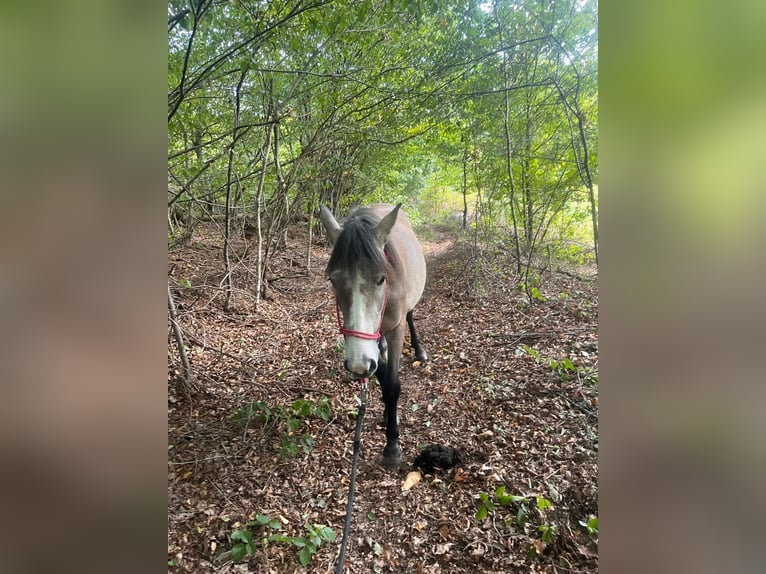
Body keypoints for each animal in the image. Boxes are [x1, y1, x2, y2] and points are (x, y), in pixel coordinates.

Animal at [319, 203, 428, 468]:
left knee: (411, 316)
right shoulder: (369, 344)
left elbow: (393, 385)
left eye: (381, 278)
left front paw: (392, 446)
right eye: (333, 281)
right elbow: (381, 375)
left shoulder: (395, 329)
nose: (357, 365)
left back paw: (419, 351)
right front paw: (387, 415)